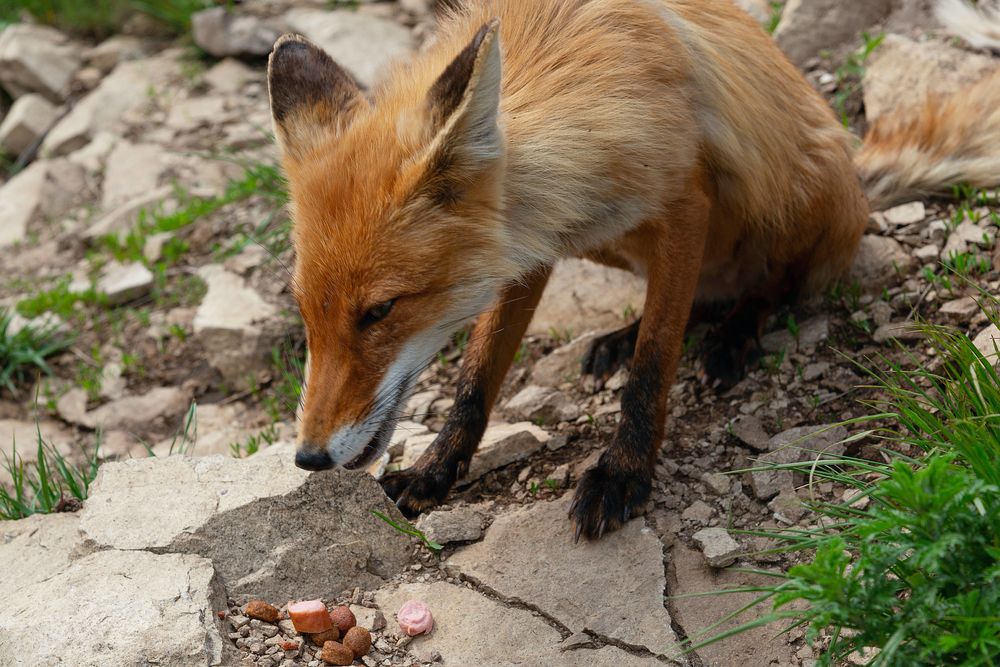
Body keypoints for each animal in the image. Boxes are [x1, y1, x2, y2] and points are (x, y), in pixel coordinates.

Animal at [267, 0, 1000, 540]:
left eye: (379, 311)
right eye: (305, 314)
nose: (308, 458)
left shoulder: (685, 208)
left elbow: (654, 367)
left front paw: (623, 472)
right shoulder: (533, 245)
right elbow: (476, 381)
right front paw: (435, 468)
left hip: (794, 191)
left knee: (768, 287)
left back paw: (736, 334)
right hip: (614, 244)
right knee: (699, 297)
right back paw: (625, 334)